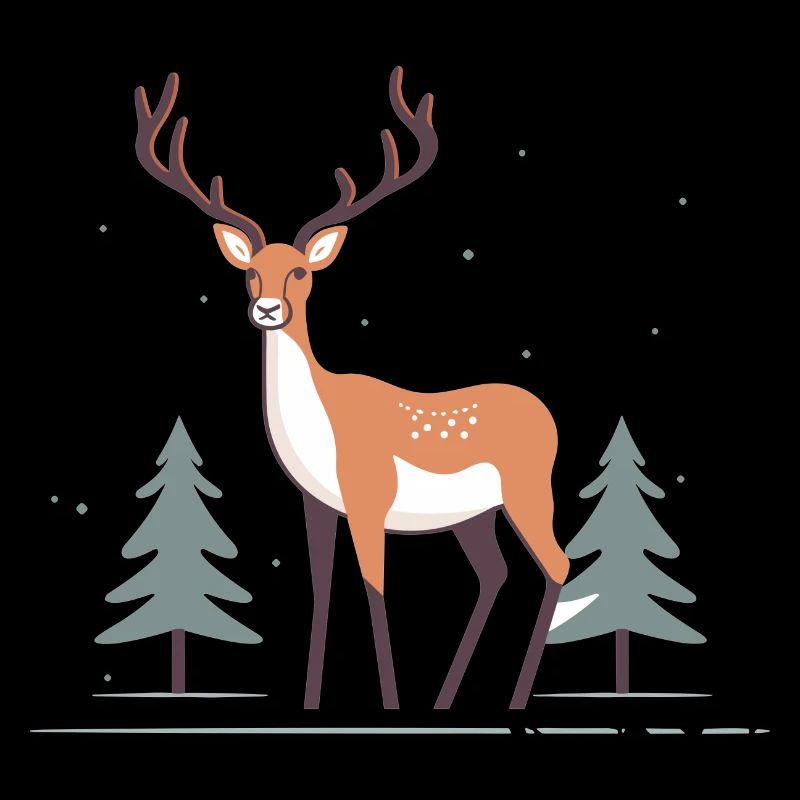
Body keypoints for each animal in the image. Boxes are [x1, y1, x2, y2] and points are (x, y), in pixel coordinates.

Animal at [134, 69, 596, 710]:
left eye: (301, 271)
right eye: (250, 271)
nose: (266, 309)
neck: (321, 425)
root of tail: (548, 416)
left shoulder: (369, 493)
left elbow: (373, 587)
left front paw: (391, 703)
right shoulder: (316, 502)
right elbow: (321, 589)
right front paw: (310, 702)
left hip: (529, 490)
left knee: (557, 563)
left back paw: (513, 700)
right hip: (475, 514)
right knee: (495, 573)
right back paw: (447, 700)